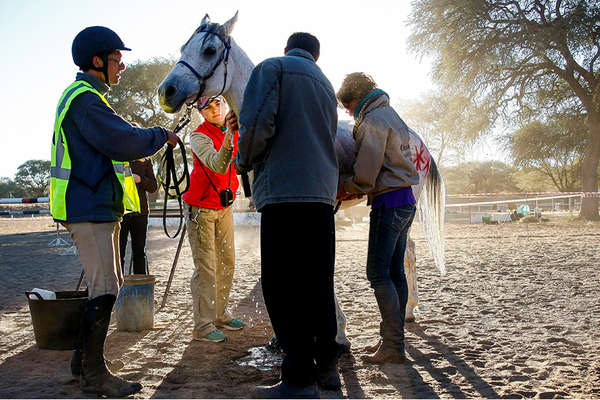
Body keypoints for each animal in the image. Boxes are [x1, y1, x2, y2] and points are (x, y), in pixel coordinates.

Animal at [157, 11, 442, 350]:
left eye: (210, 50)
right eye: (183, 47)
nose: (167, 91)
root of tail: (416, 139)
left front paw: (338, 332)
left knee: (407, 254)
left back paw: (408, 311)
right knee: (406, 251)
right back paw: (407, 312)